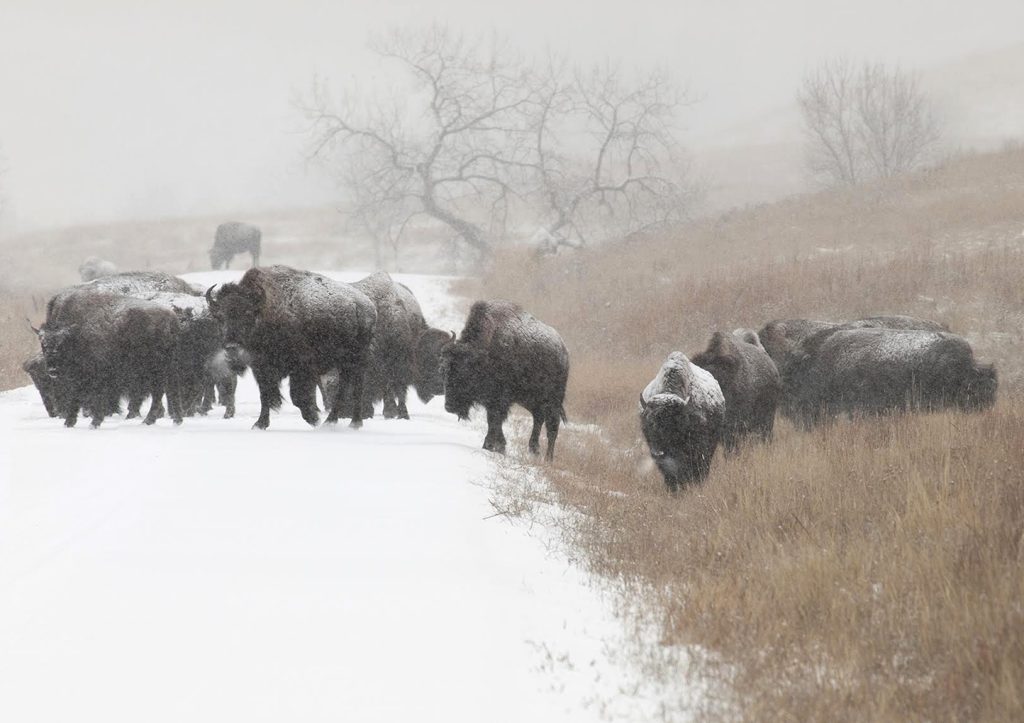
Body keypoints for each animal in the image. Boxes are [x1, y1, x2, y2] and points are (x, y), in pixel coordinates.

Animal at [440, 299, 569, 458]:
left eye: (464, 373)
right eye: (444, 371)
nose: (449, 406)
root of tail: (564, 351)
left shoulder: (500, 398)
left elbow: (495, 419)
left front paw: (490, 445)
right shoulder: (492, 400)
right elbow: (494, 421)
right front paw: (497, 446)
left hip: (553, 400)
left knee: (552, 426)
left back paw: (548, 458)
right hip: (531, 400)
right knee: (538, 418)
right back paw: (534, 449)